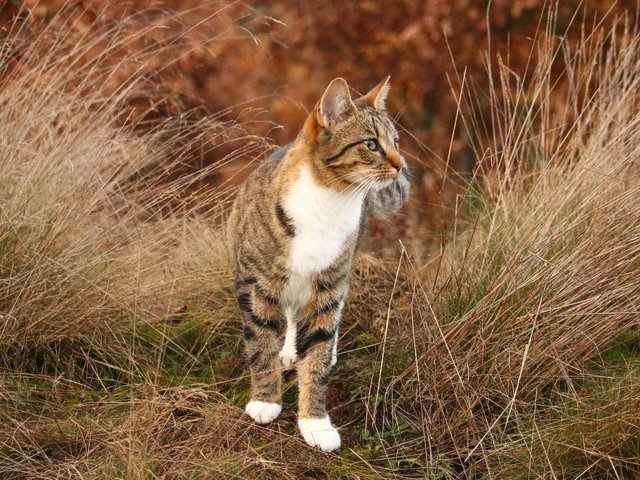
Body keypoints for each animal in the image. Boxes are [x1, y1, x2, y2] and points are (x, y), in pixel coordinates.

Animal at [228, 77, 410, 452]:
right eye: (371, 144)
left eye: (396, 142)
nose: (401, 164)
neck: (332, 201)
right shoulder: (255, 286)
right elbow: (260, 345)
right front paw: (265, 401)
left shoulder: (328, 287)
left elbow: (318, 355)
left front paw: (315, 423)